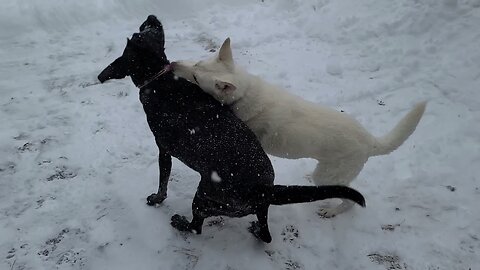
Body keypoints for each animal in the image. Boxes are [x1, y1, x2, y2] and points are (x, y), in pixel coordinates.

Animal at [97, 14, 366, 243]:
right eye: (149, 32)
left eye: (139, 33)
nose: (152, 16)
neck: (160, 78)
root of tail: (265, 189)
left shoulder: (164, 151)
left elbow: (163, 183)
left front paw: (156, 199)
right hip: (258, 208)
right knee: (266, 235)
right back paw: (256, 230)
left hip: (203, 196)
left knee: (196, 226)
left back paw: (180, 222)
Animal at [171, 38, 426, 217]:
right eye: (197, 64)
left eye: (196, 77)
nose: (172, 63)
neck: (243, 94)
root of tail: (370, 139)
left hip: (327, 176)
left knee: (348, 201)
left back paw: (332, 211)